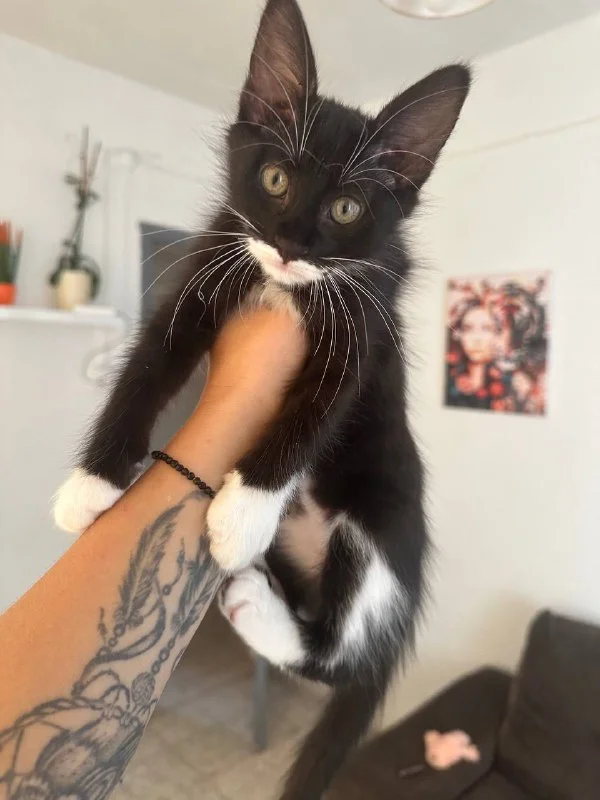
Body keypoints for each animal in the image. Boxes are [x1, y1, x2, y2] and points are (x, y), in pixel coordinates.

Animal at [54, 0, 470, 796]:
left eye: (347, 207)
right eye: (274, 178)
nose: (288, 243)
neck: (287, 290)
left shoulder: (363, 326)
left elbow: (317, 410)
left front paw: (243, 510)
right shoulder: (207, 268)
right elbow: (146, 366)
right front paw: (92, 480)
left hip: (380, 529)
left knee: (341, 655)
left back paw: (258, 599)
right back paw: (253, 591)